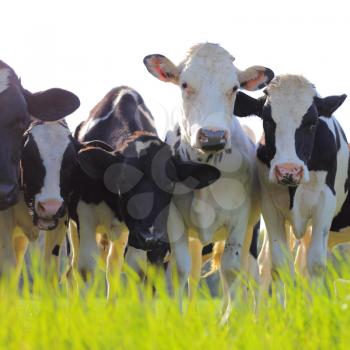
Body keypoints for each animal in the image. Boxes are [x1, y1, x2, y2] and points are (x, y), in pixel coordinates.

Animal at [68, 85, 220, 290]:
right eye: (123, 180)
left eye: (170, 183)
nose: (151, 237)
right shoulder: (84, 217)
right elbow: (85, 270)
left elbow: (136, 272)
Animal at [142, 41, 274, 320]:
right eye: (184, 84)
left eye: (234, 88)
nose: (212, 136)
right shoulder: (173, 218)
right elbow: (181, 270)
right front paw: (179, 317)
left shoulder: (239, 219)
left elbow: (232, 269)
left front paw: (230, 321)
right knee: (194, 273)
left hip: (250, 232)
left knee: (249, 273)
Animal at [234, 73, 348, 300]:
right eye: (268, 121)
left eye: (312, 122)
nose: (288, 170)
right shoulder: (270, 205)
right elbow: (280, 265)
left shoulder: (325, 202)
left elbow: (315, 265)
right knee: (268, 263)